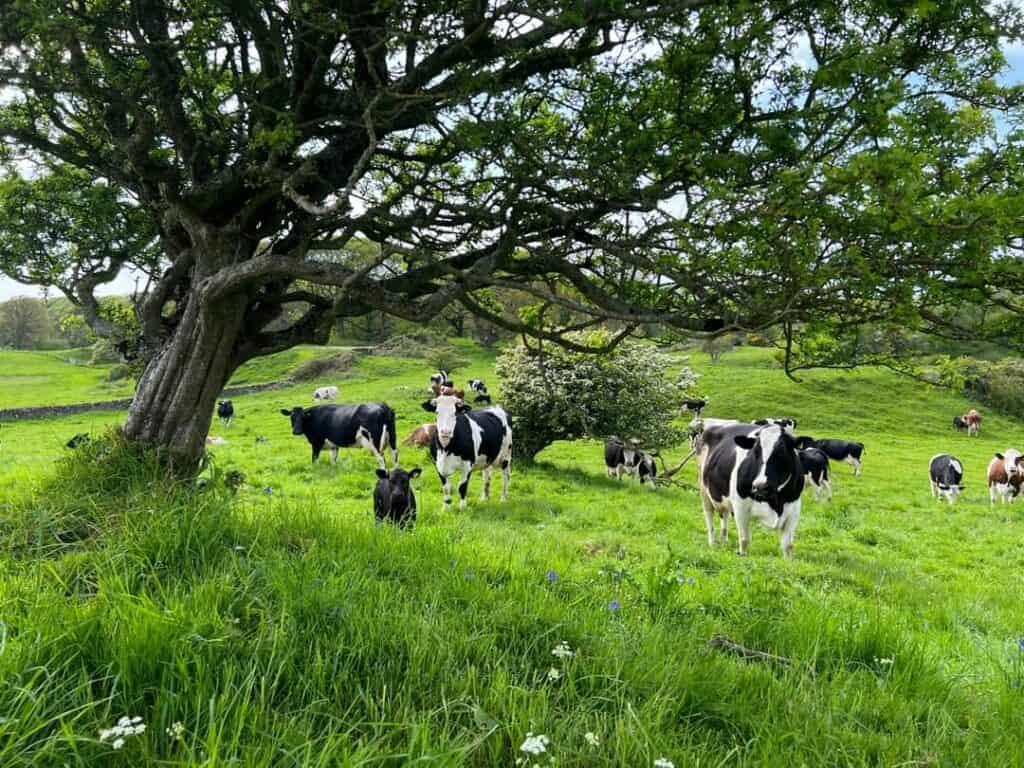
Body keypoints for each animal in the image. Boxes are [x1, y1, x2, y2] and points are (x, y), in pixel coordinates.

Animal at [696, 423, 804, 557]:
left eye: (782, 452)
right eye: (755, 452)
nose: (760, 486)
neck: (775, 502)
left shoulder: (794, 508)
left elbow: (788, 545)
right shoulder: (740, 506)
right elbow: (744, 540)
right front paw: (742, 556)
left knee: (724, 515)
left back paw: (724, 540)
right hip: (704, 490)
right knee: (709, 516)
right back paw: (712, 543)